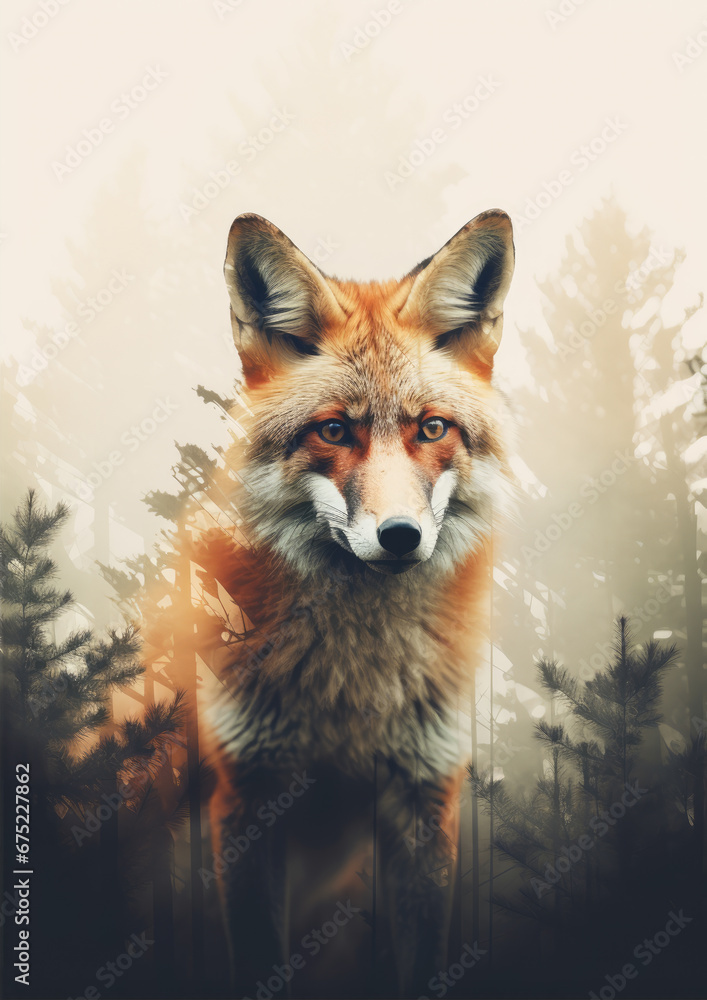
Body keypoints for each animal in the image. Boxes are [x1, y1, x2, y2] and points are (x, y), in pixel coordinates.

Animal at [194, 209, 516, 998]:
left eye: (431, 428)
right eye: (334, 430)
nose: (399, 536)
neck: (352, 684)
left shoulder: (425, 793)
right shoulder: (246, 791)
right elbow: (258, 961)